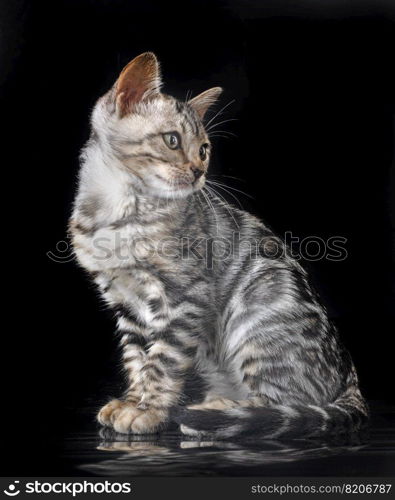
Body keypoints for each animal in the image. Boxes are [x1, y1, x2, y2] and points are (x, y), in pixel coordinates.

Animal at [69, 51, 370, 438]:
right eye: (172, 140)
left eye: (204, 150)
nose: (199, 172)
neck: (118, 208)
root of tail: (351, 378)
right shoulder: (125, 302)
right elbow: (137, 358)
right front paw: (133, 400)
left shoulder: (185, 297)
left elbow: (162, 360)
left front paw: (148, 411)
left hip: (256, 324)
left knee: (286, 404)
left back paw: (215, 411)